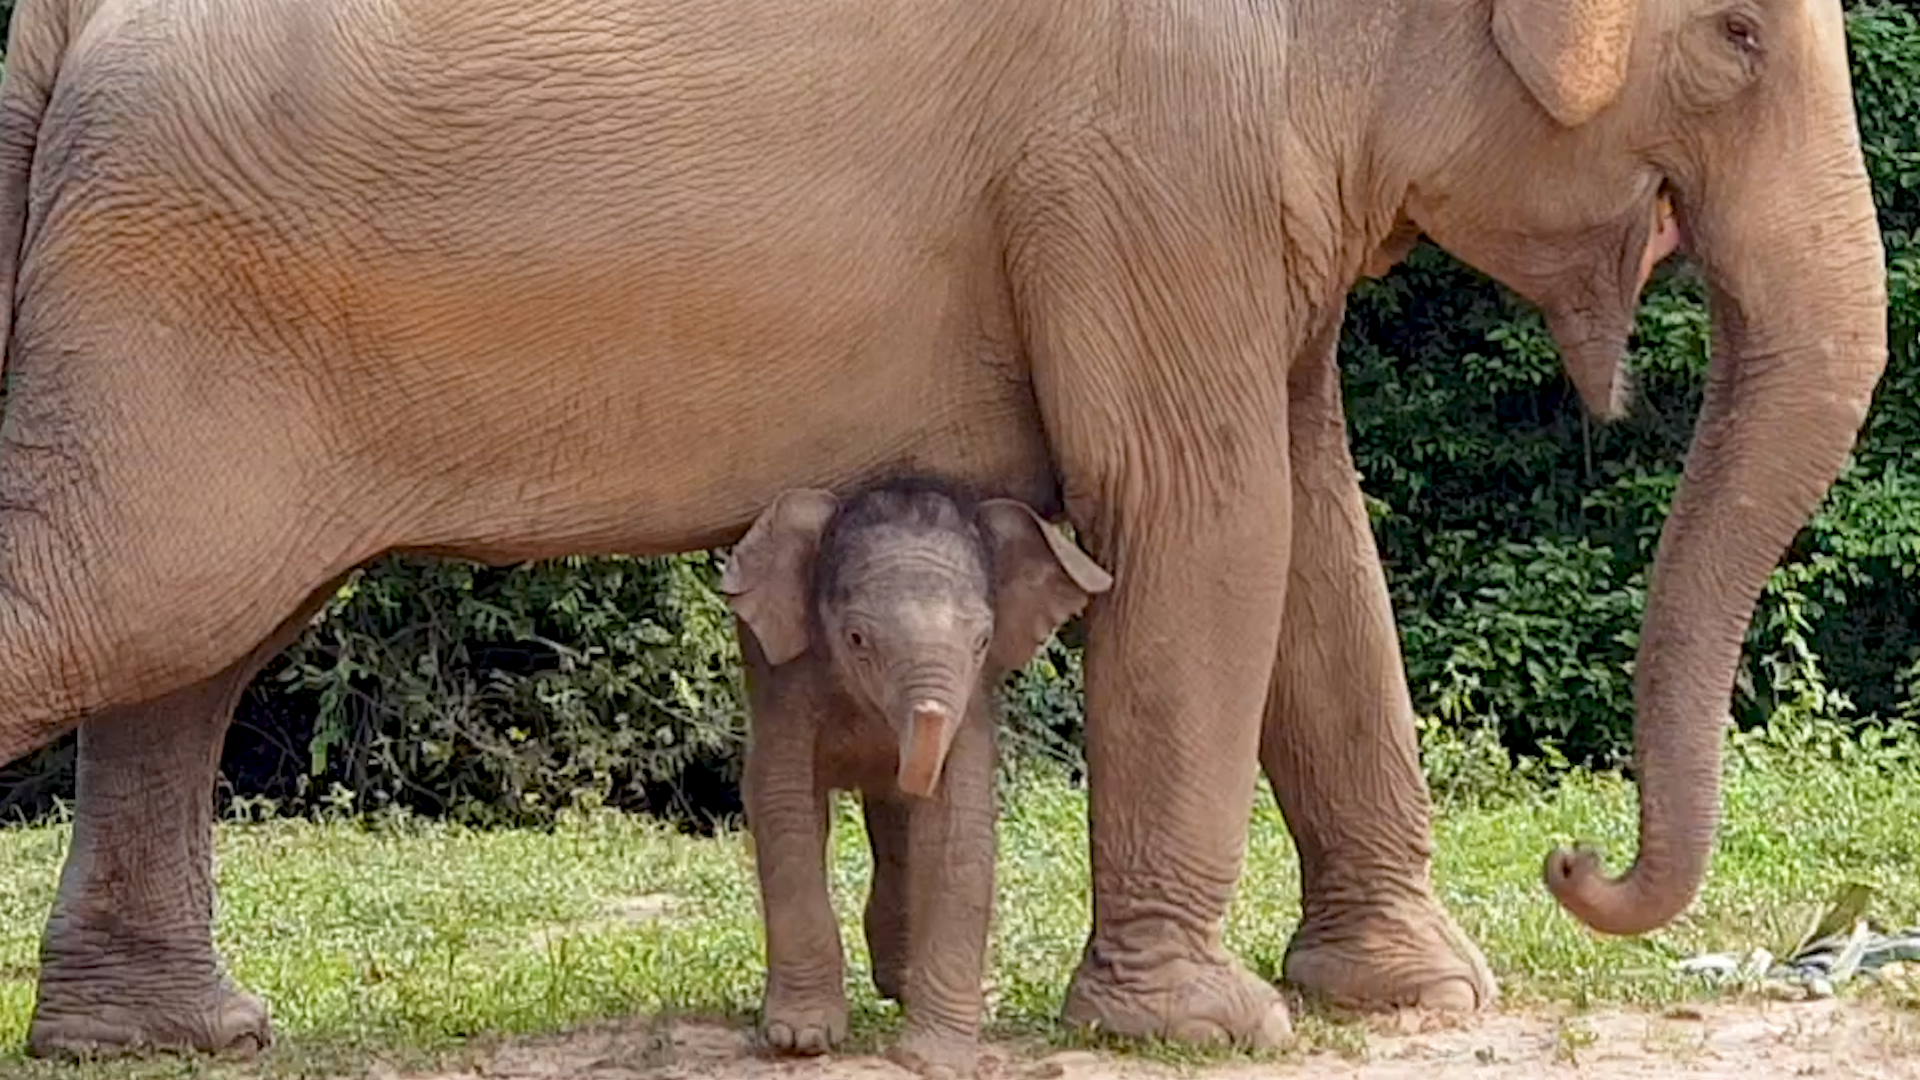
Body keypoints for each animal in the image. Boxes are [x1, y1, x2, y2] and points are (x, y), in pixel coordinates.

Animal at [721, 478, 1112, 1075]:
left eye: (982, 642)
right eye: (856, 639)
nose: (923, 716)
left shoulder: (971, 701)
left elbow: (957, 828)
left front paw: (936, 1060)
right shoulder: (787, 679)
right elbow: (785, 808)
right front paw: (800, 1039)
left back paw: (902, 984)